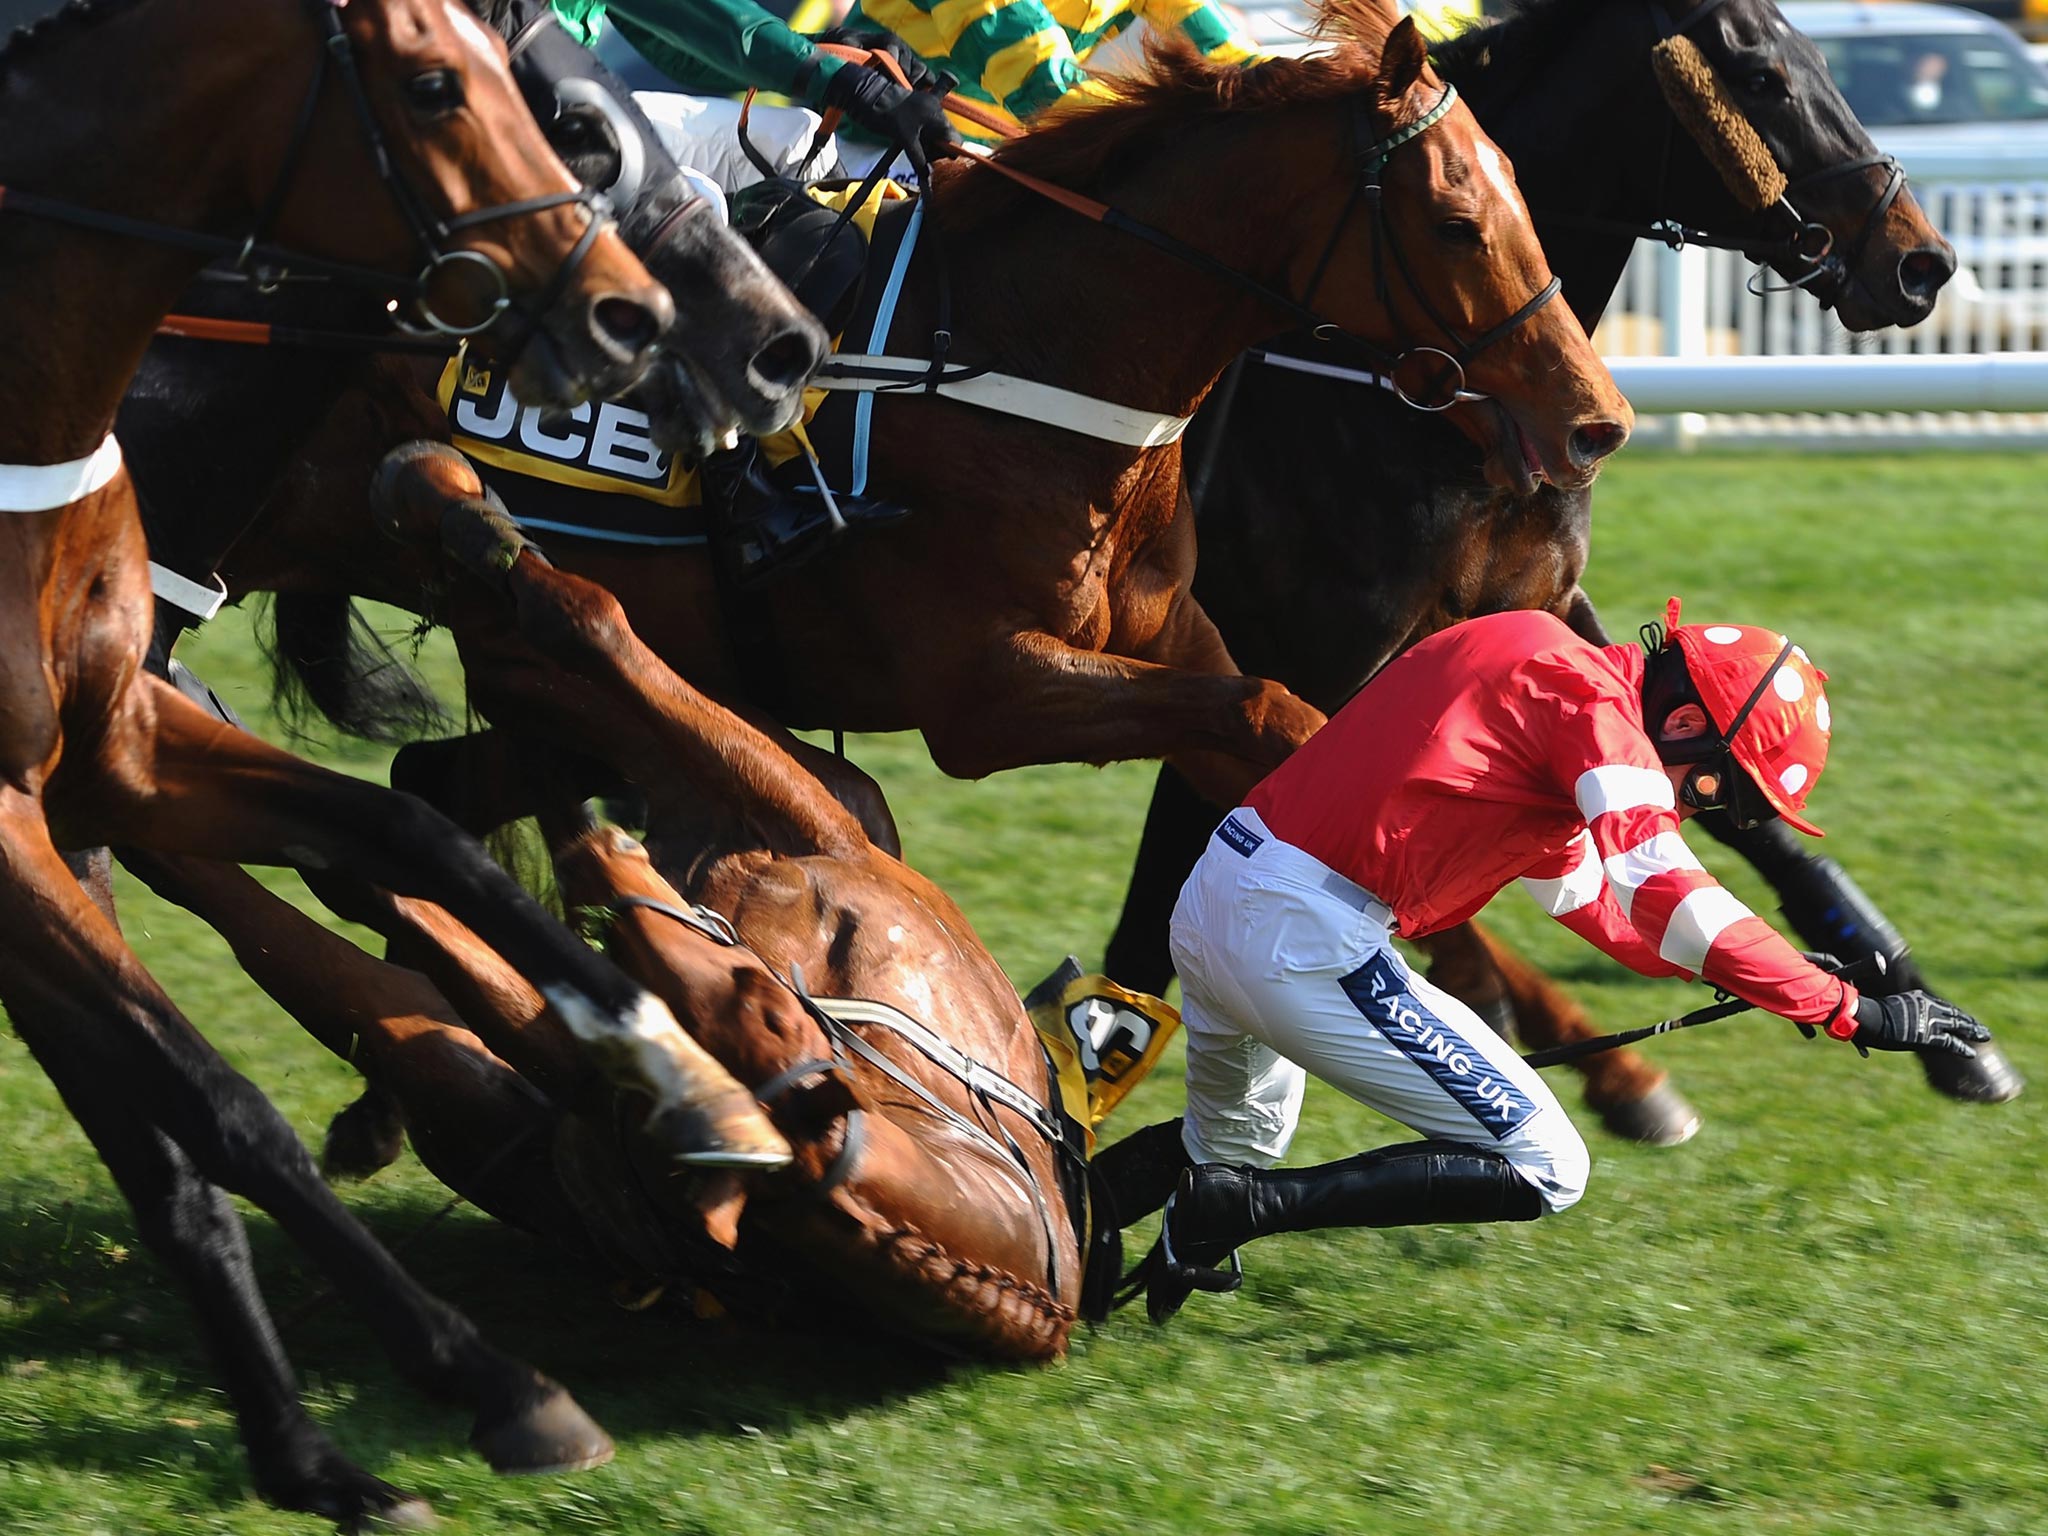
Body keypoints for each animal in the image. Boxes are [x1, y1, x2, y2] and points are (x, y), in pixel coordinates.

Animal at [0, 0, 786, 1531]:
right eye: (435, 87)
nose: (640, 318)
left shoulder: (109, 756)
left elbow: (418, 843)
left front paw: (686, 1073)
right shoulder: (11, 830)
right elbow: (220, 1111)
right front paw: (489, 1383)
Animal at [1105, 0, 2015, 1155]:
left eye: (1814, 55)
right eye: (1760, 76)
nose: (1919, 262)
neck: (1427, 401)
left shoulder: (1535, 602)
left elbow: (1727, 789)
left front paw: (1931, 1017)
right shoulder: (1295, 651)